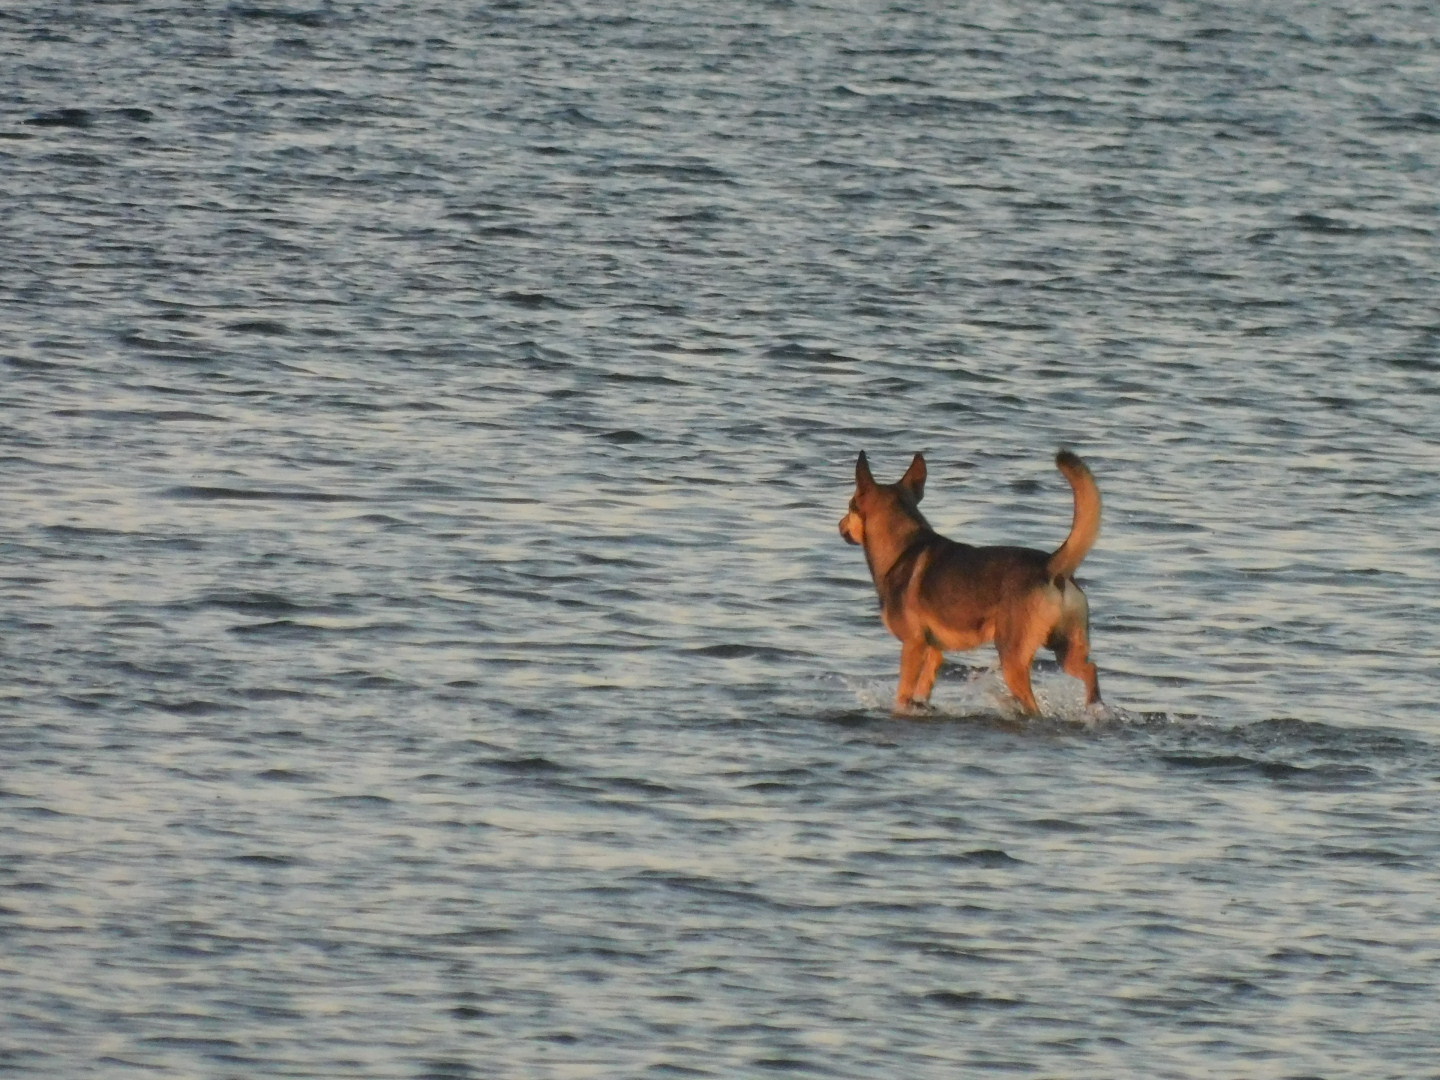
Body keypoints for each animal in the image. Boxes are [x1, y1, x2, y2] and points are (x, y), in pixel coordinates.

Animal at [840, 449, 1105, 720]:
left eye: (850, 506)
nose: (840, 526)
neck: (902, 547)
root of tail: (1051, 567)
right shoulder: (935, 651)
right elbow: (923, 689)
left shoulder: (913, 645)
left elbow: (903, 695)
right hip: (1065, 651)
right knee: (1090, 670)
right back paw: (1095, 708)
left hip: (1013, 659)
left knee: (1034, 706)